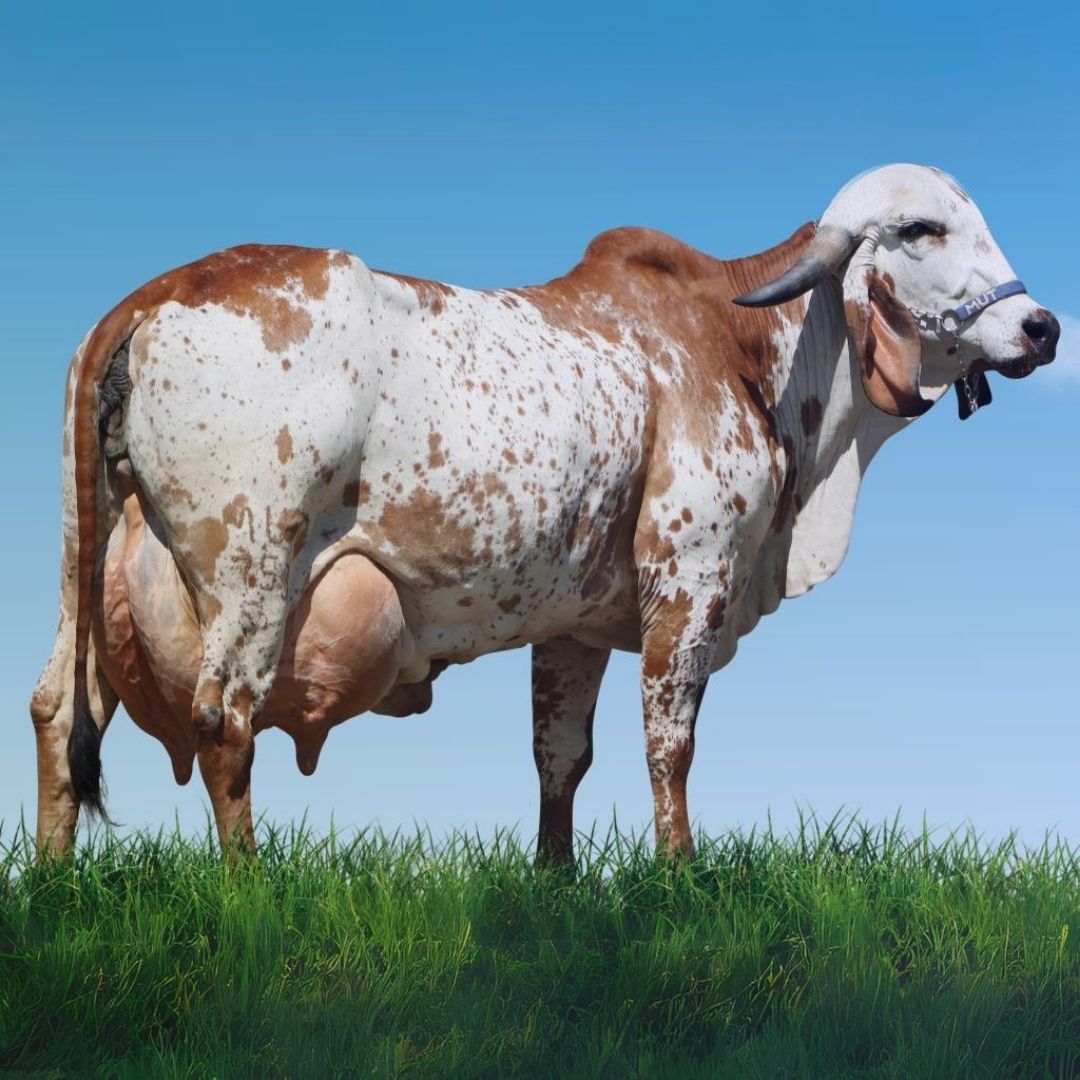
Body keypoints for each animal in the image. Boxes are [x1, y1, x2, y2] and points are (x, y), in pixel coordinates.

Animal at [30, 164, 1058, 861]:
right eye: (921, 228)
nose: (1042, 327)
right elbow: (668, 744)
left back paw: (53, 885)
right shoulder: (692, 577)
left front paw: (556, 880)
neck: (740, 346)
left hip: (90, 571)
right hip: (251, 576)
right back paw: (249, 891)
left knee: (59, 709)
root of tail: (163, 289)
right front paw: (679, 872)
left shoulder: (574, 623)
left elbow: (560, 757)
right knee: (223, 726)